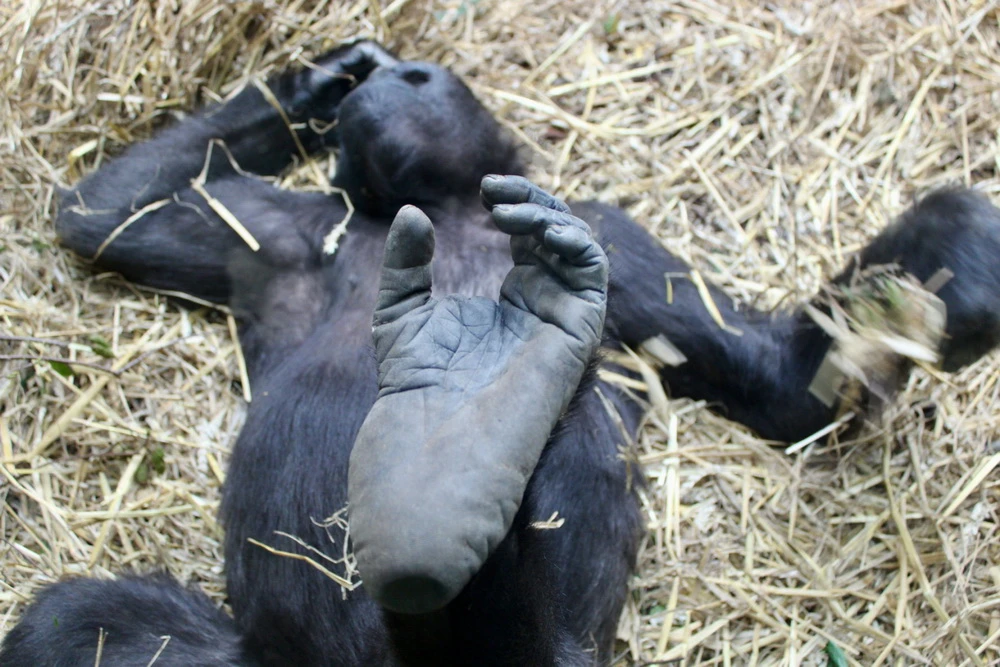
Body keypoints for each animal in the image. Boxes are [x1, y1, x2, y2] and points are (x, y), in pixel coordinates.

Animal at [1, 41, 1000, 667]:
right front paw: (320, 81)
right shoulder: (286, 233)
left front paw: (936, 266)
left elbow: (784, 384)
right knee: (79, 624)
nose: (402, 73)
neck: (448, 209)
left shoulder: (610, 233)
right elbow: (105, 212)